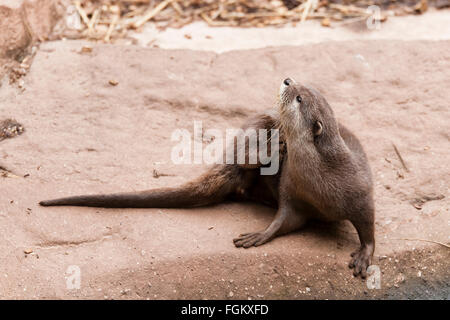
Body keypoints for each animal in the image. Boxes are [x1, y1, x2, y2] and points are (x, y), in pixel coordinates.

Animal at [40, 79, 374, 278]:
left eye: (299, 98)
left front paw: (364, 256)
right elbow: (283, 221)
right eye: (300, 88)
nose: (289, 80)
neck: (321, 177)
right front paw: (258, 235)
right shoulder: (291, 193)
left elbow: (367, 223)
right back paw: (270, 148)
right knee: (243, 153)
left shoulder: (359, 191)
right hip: (259, 123)